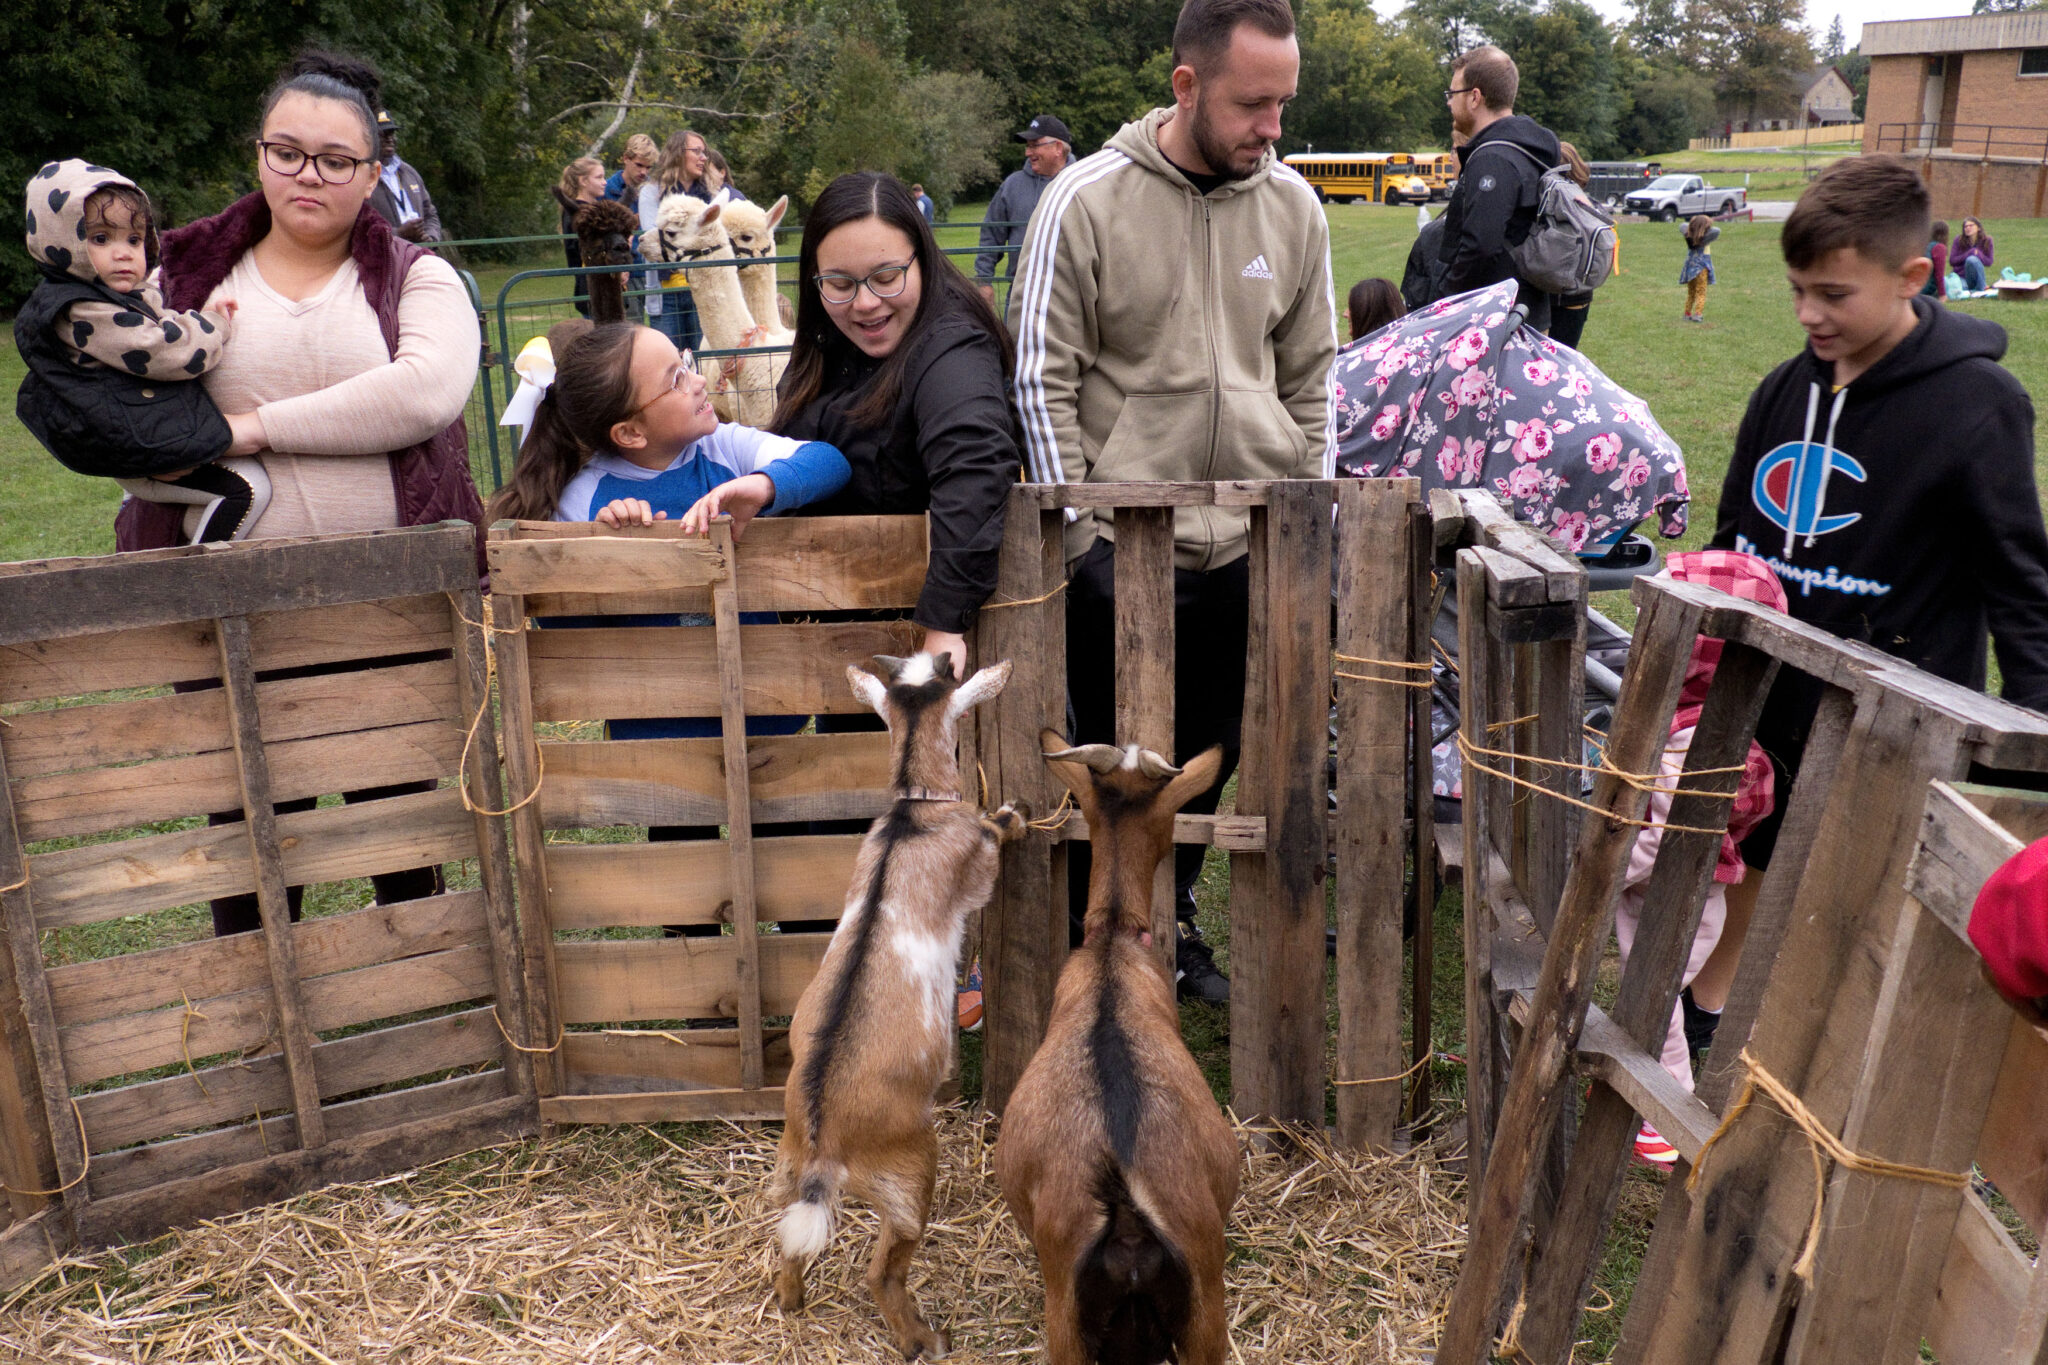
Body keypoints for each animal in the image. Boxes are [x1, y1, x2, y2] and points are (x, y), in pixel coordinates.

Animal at [770, 650, 1024, 1358]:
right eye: (949, 673)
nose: (952, 654)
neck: (916, 812)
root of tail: (826, 1145)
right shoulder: (977, 866)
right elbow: (992, 843)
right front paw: (1012, 815)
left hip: (787, 1170)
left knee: (787, 1245)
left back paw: (793, 1306)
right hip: (910, 1175)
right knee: (883, 1269)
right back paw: (924, 1341)